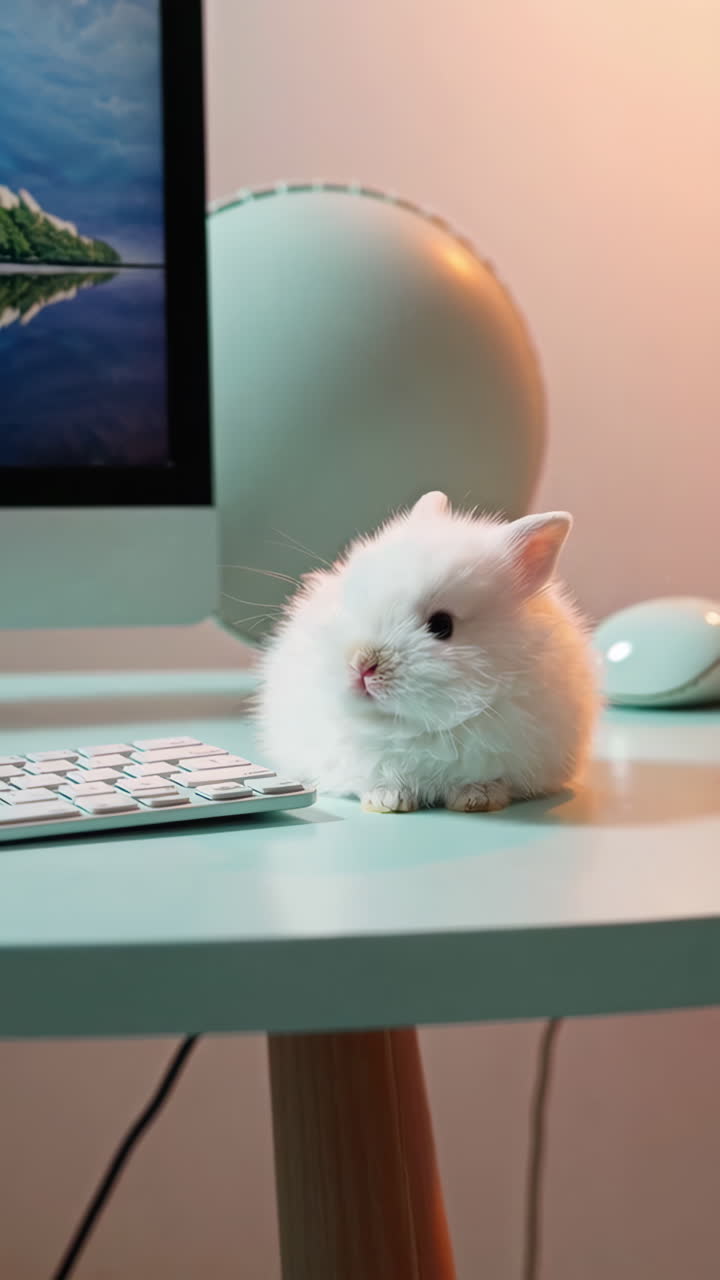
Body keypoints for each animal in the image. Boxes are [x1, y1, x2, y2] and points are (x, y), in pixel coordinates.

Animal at [257, 491, 599, 813]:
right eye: (353, 600)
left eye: (442, 625)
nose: (362, 665)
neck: (410, 726)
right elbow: (378, 777)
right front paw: (387, 800)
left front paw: (477, 799)